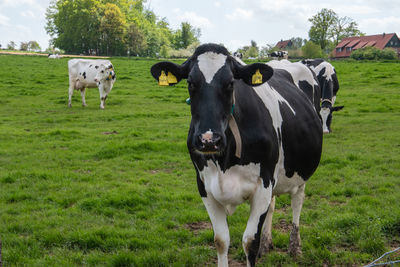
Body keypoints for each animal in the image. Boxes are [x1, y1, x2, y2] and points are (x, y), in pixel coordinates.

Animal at [150, 43, 322, 266]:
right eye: (190, 82)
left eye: (231, 83)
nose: (209, 140)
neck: (224, 163)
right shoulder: (205, 186)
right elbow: (220, 240)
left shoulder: (263, 184)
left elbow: (249, 242)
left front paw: (259, 245)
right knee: (273, 205)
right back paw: (267, 243)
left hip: (301, 171)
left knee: (297, 202)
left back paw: (294, 246)